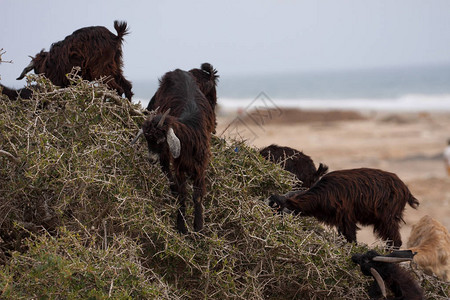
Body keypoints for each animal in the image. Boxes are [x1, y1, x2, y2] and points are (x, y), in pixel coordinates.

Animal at [132, 68, 214, 234]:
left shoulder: (200, 166)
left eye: (161, 139)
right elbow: (183, 193)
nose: (151, 159)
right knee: (166, 170)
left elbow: (197, 195)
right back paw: (173, 189)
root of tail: (177, 71)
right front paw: (182, 226)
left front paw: (198, 227)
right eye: (147, 140)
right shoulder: (179, 165)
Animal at [268, 168, 418, 247]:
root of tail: (405, 189)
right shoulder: (340, 221)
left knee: (396, 241)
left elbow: (351, 239)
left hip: (386, 219)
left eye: (280, 211)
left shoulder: (346, 218)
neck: (322, 194)